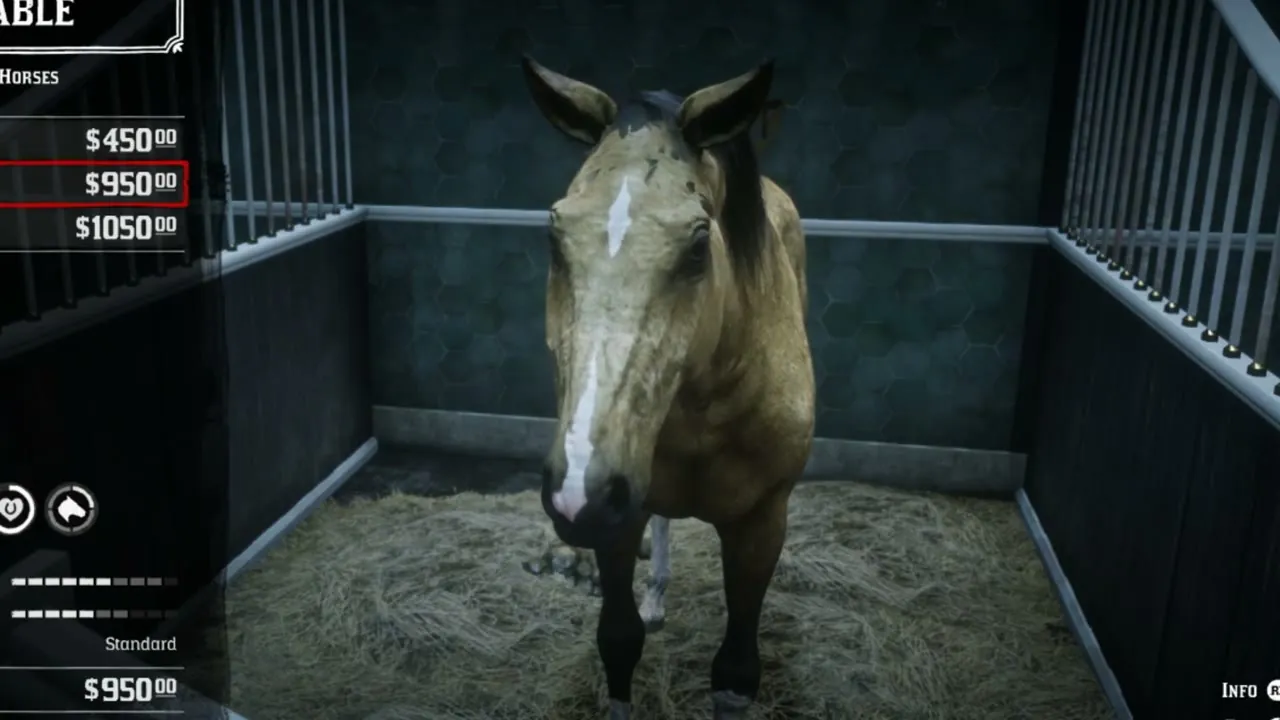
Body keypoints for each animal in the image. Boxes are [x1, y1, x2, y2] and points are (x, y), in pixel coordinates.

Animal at [520, 56, 815, 720]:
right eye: (553, 235)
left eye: (700, 244)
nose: (578, 494)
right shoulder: (618, 516)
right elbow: (618, 640)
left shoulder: (761, 525)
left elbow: (735, 673)